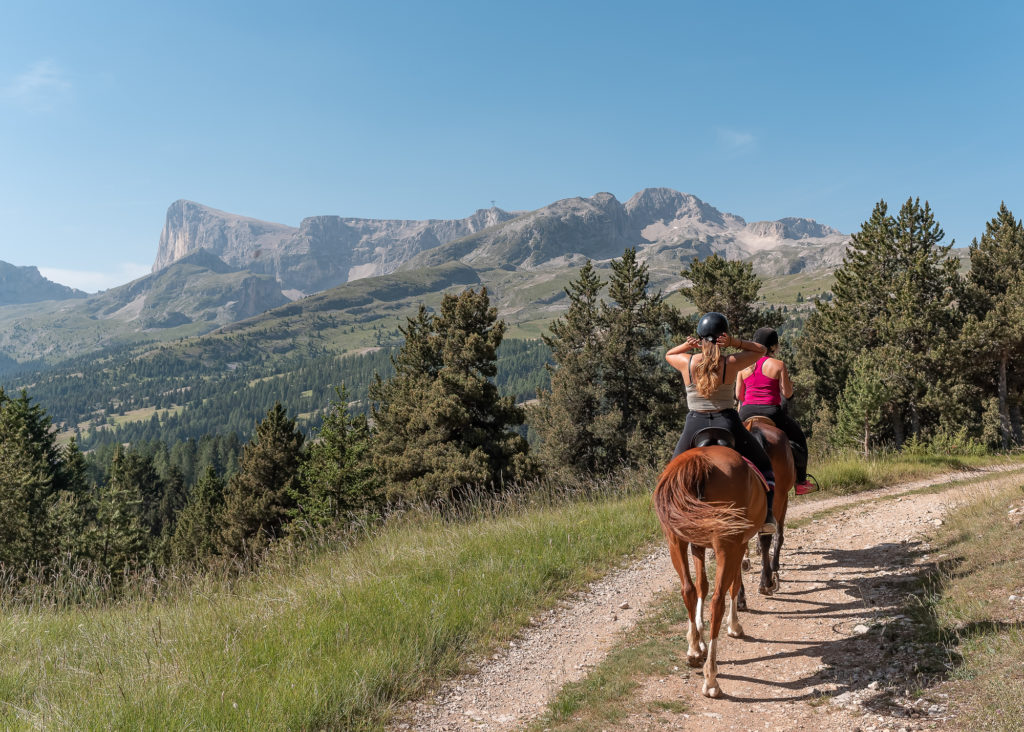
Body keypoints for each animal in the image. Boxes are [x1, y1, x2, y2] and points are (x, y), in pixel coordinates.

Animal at [655, 446, 770, 700]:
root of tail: (697, 459)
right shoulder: (738, 545)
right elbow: (734, 585)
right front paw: (734, 625)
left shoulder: (698, 545)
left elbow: (701, 587)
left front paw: (697, 640)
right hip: (726, 544)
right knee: (717, 601)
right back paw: (711, 679)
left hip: (676, 540)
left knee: (687, 590)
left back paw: (694, 652)